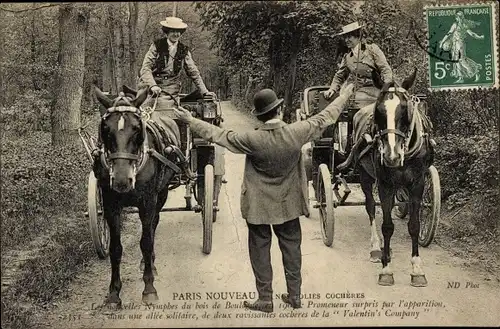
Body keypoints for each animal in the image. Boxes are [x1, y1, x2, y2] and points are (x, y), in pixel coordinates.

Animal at [93, 85, 182, 304]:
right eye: (105, 129)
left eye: (136, 128)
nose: (121, 180)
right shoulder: (110, 205)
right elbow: (116, 249)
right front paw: (114, 292)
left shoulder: (148, 202)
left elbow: (146, 242)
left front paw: (149, 288)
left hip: (161, 193)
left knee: (153, 225)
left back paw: (150, 263)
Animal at [356, 68, 434, 284]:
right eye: (378, 111)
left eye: (405, 110)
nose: (392, 156)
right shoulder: (384, 184)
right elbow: (387, 226)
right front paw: (386, 269)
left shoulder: (418, 183)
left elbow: (414, 225)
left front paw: (417, 269)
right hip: (365, 175)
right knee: (371, 207)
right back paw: (377, 248)